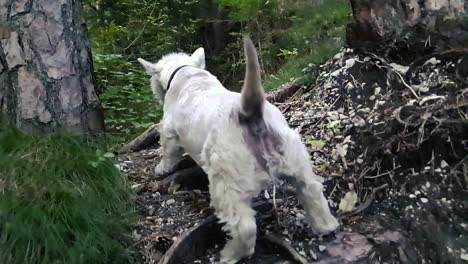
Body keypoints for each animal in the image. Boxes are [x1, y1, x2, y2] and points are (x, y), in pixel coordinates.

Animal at [137, 36, 338, 262]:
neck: (187, 73)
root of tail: (250, 114)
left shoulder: (169, 131)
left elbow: (168, 151)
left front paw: (162, 168)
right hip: (295, 158)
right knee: (311, 189)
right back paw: (325, 226)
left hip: (226, 182)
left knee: (244, 227)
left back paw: (230, 253)